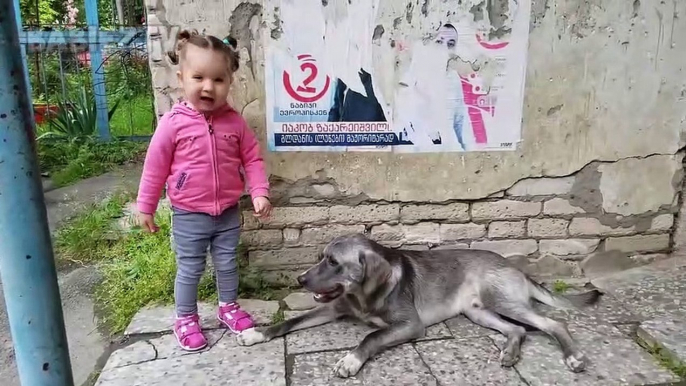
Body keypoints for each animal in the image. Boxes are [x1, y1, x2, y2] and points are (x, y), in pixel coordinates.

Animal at [239, 232, 604, 376]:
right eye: (321, 257)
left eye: (333, 262)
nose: (300, 279)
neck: (365, 296)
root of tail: (517, 267)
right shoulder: (333, 307)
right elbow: (288, 322)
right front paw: (257, 333)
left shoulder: (410, 325)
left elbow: (370, 336)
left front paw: (351, 360)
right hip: (478, 311)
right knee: (518, 331)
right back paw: (510, 352)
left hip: (501, 300)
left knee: (553, 323)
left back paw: (573, 356)